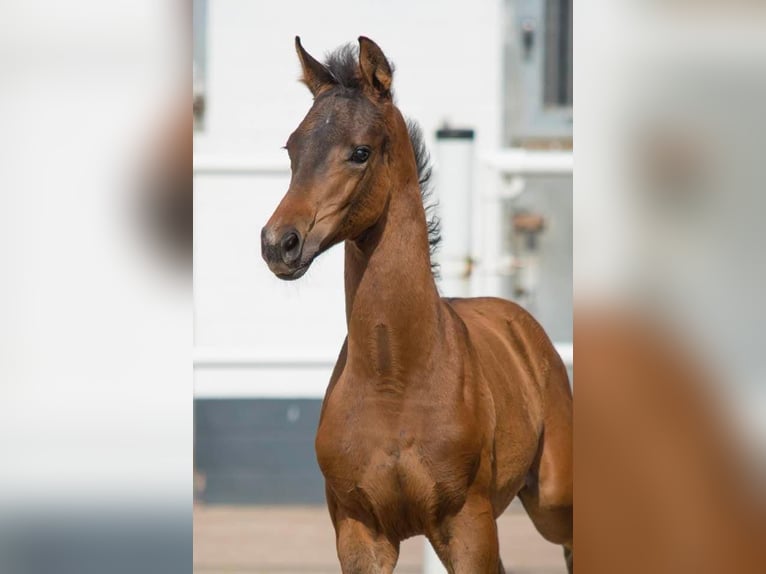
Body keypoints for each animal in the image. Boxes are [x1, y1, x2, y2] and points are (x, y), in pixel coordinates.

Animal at [260, 37, 572, 574]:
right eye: (292, 147)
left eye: (359, 152)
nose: (279, 243)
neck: (394, 378)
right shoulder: (359, 534)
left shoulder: (467, 527)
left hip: (555, 498)